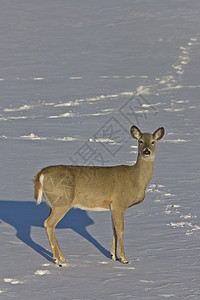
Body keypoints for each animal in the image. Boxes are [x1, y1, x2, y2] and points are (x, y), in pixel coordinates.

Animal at [34, 125, 165, 266]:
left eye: (153, 141)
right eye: (140, 141)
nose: (146, 151)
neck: (135, 179)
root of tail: (42, 173)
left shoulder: (112, 206)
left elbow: (113, 230)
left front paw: (114, 256)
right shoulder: (119, 204)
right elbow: (120, 230)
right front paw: (124, 259)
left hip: (52, 204)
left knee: (50, 225)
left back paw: (62, 257)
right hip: (62, 202)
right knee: (49, 224)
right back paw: (57, 260)